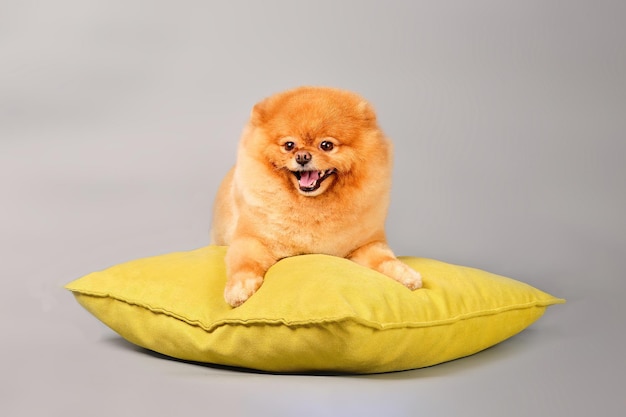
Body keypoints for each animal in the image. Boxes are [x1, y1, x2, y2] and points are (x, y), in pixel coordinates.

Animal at [210, 86, 420, 306]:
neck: (311, 207)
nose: (302, 156)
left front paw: (406, 274)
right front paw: (239, 288)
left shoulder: (366, 244)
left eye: (326, 145)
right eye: (289, 145)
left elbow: (386, 259)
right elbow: (243, 264)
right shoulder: (250, 239)